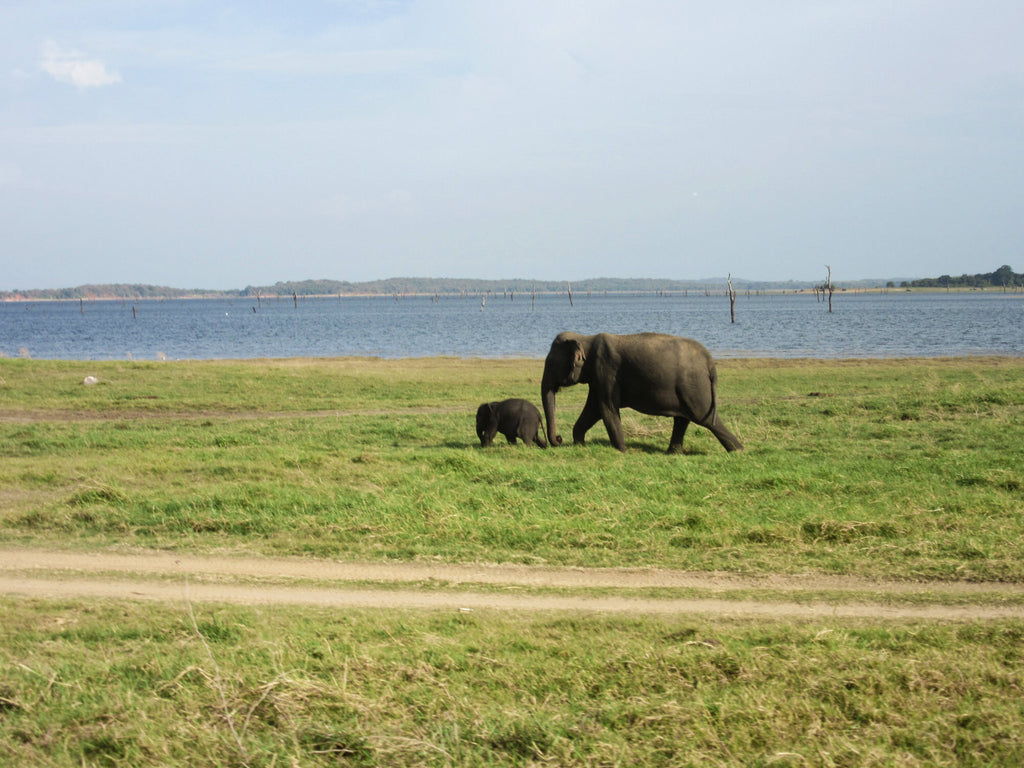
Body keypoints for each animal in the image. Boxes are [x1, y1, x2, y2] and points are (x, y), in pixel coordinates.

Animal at [544, 329, 745, 450]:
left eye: (551, 363)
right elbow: (593, 409)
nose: (559, 439)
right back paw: (674, 453)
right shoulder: (597, 378)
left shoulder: (606, 370)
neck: (587, 339)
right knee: (683, 419)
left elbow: (606, 409)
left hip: (694, 385)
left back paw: (738, 451)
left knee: (705, 418)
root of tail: (709, 360)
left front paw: (622, 451)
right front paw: (580, 444)